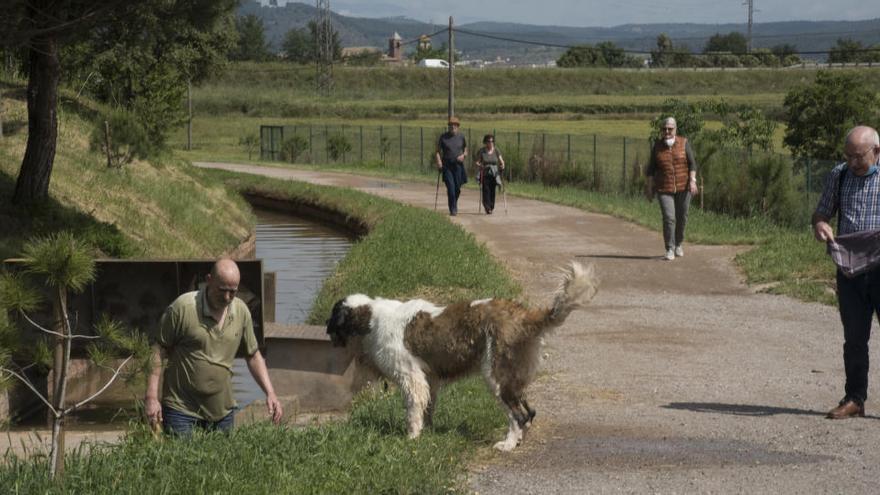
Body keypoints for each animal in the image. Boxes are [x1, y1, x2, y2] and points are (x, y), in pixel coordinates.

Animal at [326, 262, 600, 452]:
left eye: (332, 318)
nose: (326, 329)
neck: (370, 318)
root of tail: (522, 314)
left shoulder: (411, 378)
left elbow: (413, 409)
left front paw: (411, 438)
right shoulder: (430, 378)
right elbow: (428, 406)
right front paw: (428, 431)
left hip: (496, 377)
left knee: (518, 415)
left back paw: (508, 445)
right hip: (512, 376)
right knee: (529, 411)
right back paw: (520, 439)